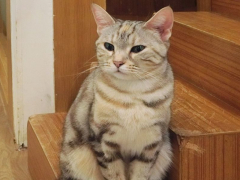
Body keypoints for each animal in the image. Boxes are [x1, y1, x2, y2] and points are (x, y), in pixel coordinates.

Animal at [59, 3, 173, 180]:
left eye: (138, 48)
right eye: (108, 46)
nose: (118, 62)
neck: (132, 93)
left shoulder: (151, 143)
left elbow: (141, 173)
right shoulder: (103, 140)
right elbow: (114, 173)